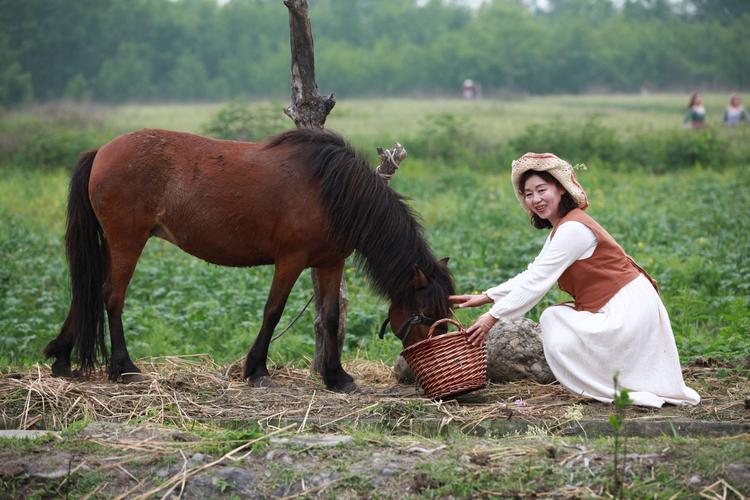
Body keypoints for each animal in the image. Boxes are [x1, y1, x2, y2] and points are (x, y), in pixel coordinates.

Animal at [45, 128, 458, 390]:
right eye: (426, 315)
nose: (430, 367)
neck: (331, 191)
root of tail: (101, 151)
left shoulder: (329, 263)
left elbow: (329, 317)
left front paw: (336, 377)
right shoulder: (290, 261)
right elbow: (272, 312)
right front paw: (257, 369)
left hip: (111, 244)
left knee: (87, 292)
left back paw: (62, 358)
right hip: (127, 242)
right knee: (112, 296)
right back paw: (124, 367)